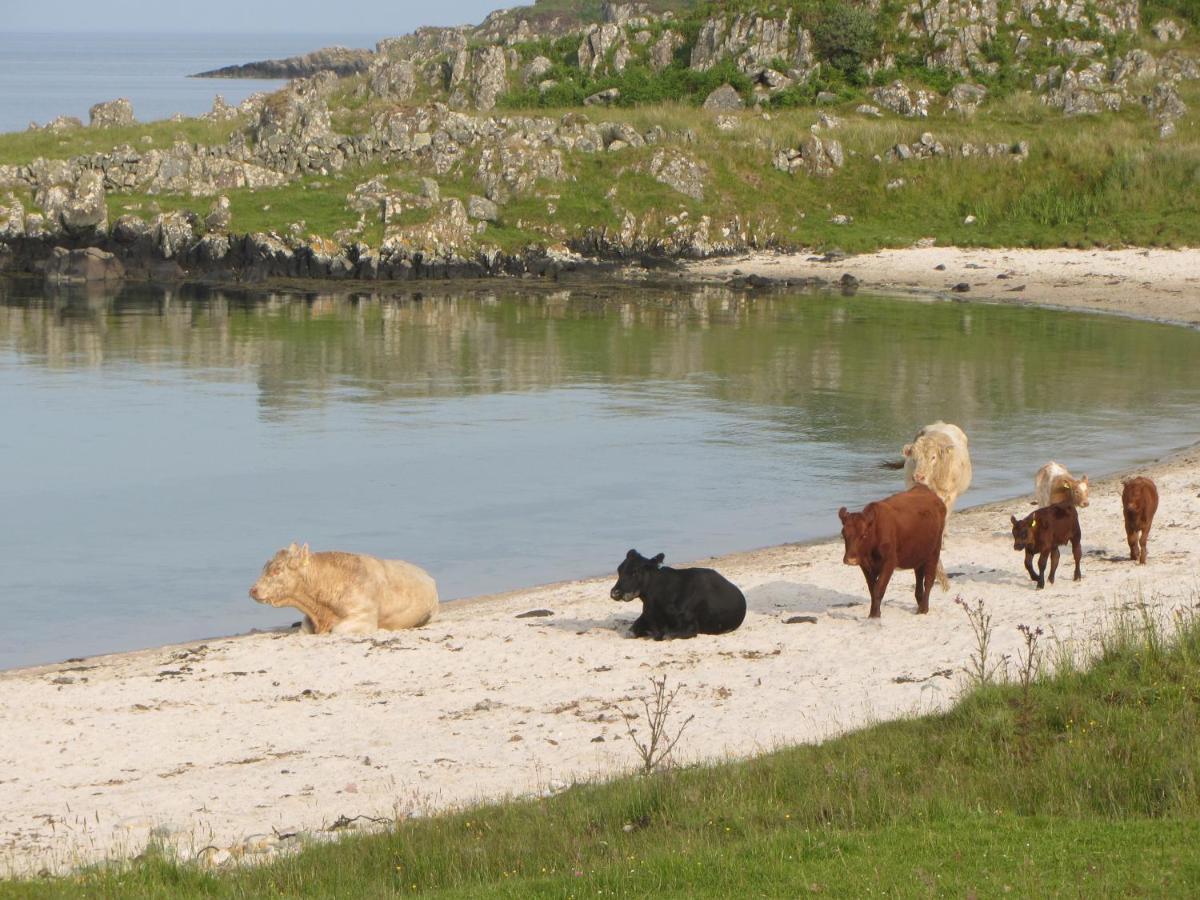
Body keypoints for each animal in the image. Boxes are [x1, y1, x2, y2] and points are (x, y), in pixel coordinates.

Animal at [614, 549, 744, 643]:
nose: (615, 592)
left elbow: (667, 635)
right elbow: (630, 632)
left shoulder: (691, 627)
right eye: (619, 570)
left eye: (635, 572)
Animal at [844, 487, 945, 619]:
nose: (850, 560)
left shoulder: (889, 562)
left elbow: (879, 588)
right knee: (919, 578)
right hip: (918, 555)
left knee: (928, 580)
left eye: (864, 534)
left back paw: (923, 609)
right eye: (843, 533)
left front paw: (875, 615)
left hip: (934, 552)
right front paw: (873, 613)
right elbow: (872, 589)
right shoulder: (864, 565)